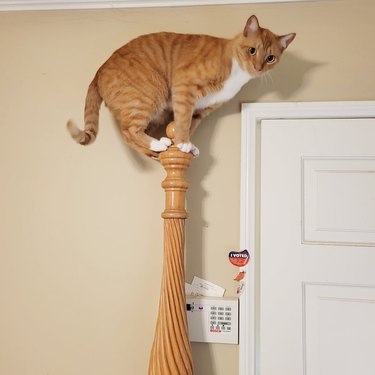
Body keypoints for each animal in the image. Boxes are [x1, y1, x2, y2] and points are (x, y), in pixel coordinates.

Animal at [67, 15, 296, 157]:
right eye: (252, 51)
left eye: (270, 58)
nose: (257, 67)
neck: (236, 72)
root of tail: (98, 71)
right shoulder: (184, 86)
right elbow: (183, 120)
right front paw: (183, 142)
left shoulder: (203, 109)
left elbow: (187, 124)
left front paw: (186, 143)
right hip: (151, 93)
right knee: (128, 130)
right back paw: (157, 144)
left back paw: (156, 149)